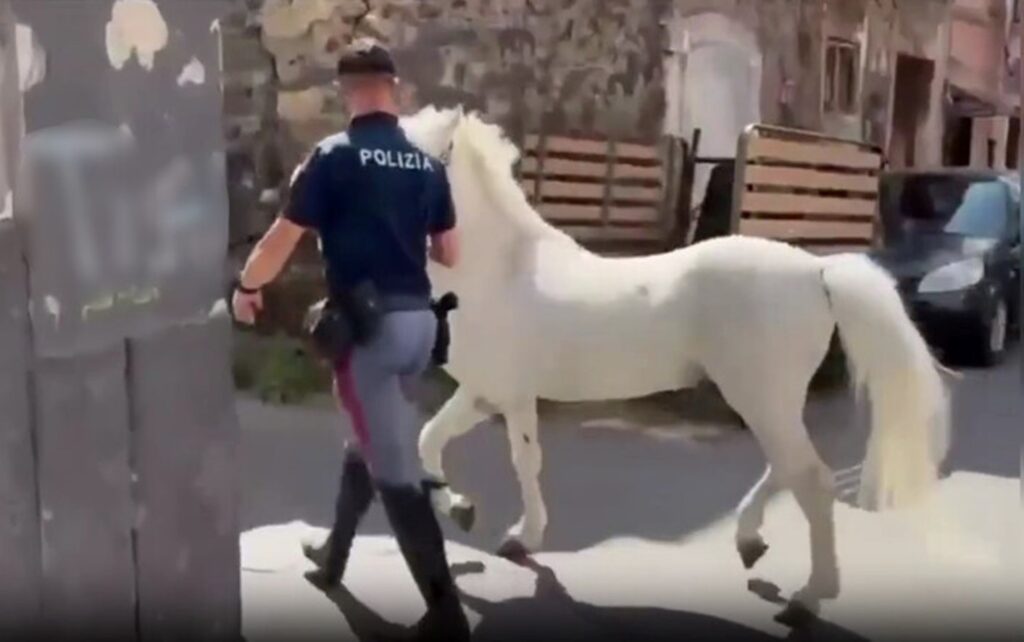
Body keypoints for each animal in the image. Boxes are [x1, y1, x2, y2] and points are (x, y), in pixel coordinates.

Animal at [398, 105, 952, 624]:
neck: (500, 273)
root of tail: (817, 270)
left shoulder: (505, 395)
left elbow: (516, 460)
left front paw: (511, 532)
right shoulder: (486, 393)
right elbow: (434, 441)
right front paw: (475, 516)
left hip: (759, 396)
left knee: (809, 478)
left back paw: (807, 598)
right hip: (768, 399)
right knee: (789, 466)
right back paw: (751, 542)